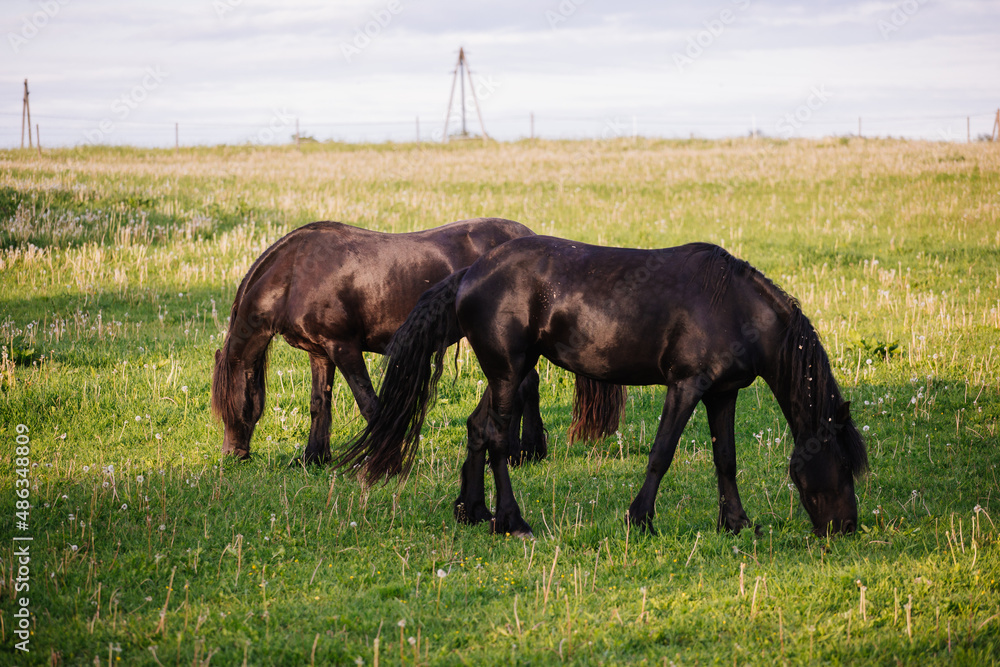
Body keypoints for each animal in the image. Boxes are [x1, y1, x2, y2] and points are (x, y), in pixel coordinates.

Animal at [212, 219, 624, 464]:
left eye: (234, 403)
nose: (233, 453)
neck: (296, 273)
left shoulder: (344, 348)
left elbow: (369, 404)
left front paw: (384, 454)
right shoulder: (321, 354)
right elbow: (319, 405)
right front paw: (313, 457)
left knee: (524, 388)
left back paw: (524, 452)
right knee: (526, 387)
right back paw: (527, 451)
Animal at [336, 237, 868, 540]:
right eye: (842, 465)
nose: (846, 527)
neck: (734, 305)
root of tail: (470, 273)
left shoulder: (723, 393)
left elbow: (726, 458)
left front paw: (735, 524)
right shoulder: (685, 386)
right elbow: (662, 453)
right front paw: (641, 519)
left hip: (508, 372)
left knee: (477, 427)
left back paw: (472, 510)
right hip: (509, 373)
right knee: (498, 440)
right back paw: (512, 522)